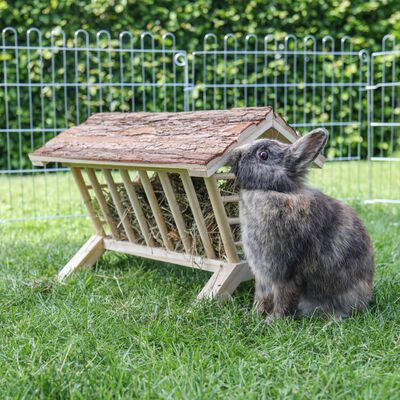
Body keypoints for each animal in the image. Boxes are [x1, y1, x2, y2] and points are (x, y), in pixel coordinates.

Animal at [228, 130, 376, 320]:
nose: (233, 155)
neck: (274, 190)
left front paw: (273, 320)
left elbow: (282, 297)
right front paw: (254, 315)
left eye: (263, 155)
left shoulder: (284, 271)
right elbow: (261, 296)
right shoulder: (262, 275)